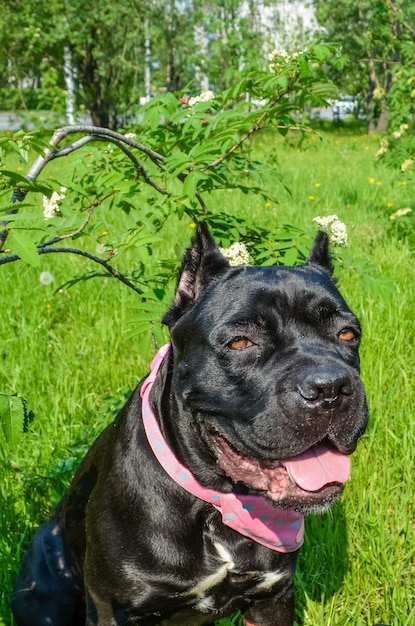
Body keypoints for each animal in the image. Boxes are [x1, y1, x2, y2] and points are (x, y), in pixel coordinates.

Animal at [12, 224, 370, 624]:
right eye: (241, 342)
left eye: (348, 334)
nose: (330, 387)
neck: (217, 504)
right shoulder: (111, 608)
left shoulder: (273, 597)